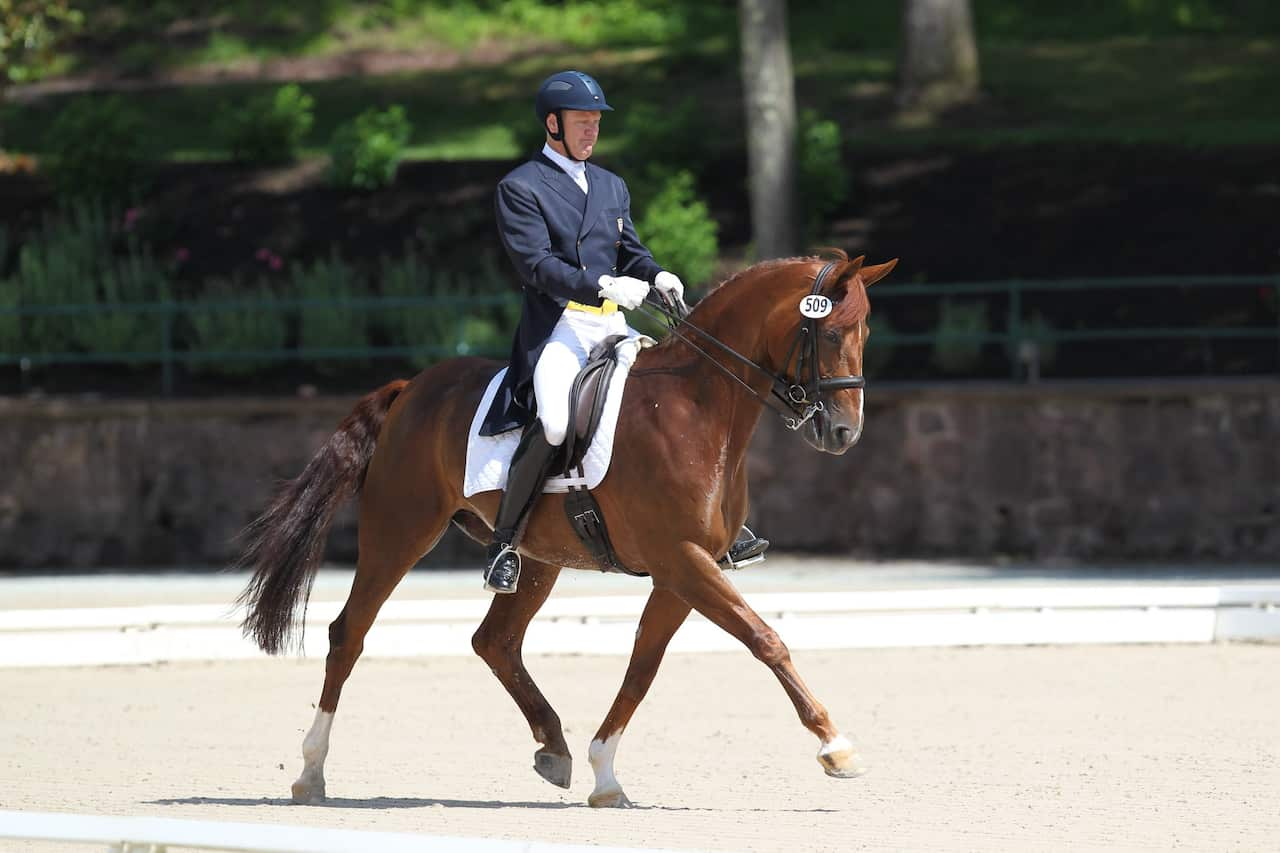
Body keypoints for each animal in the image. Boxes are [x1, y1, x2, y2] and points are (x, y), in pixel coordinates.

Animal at [240, 247, 901, 804]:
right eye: (831, 332)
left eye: (865, 334)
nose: (845, 433)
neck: (697, 408)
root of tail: (411, 388)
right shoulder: (682, 559)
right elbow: (765, 639)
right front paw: (836, 747)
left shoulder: (682, 569)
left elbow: (643, 666)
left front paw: (604, 773)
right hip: (399, 531)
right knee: (348, 634)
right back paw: (310, 771)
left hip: (536, 559)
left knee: (495, 640)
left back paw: (553, 748)